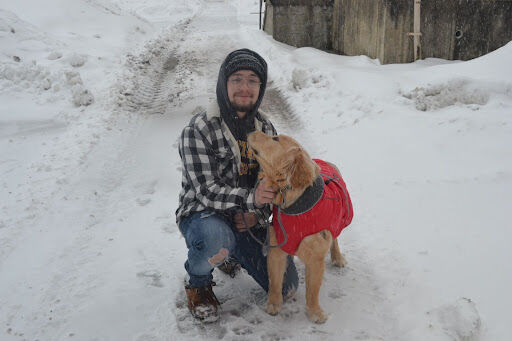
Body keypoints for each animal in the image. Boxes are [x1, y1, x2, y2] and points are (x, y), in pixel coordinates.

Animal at [247, 130, 352, 322]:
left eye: (275, 138)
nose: (252, 131)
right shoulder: (276, 248)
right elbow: (275, 281)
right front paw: (273, 304)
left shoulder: (315, 256)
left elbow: (312, 291)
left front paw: (315, 312)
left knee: (335, 239)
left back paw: (337, 257)